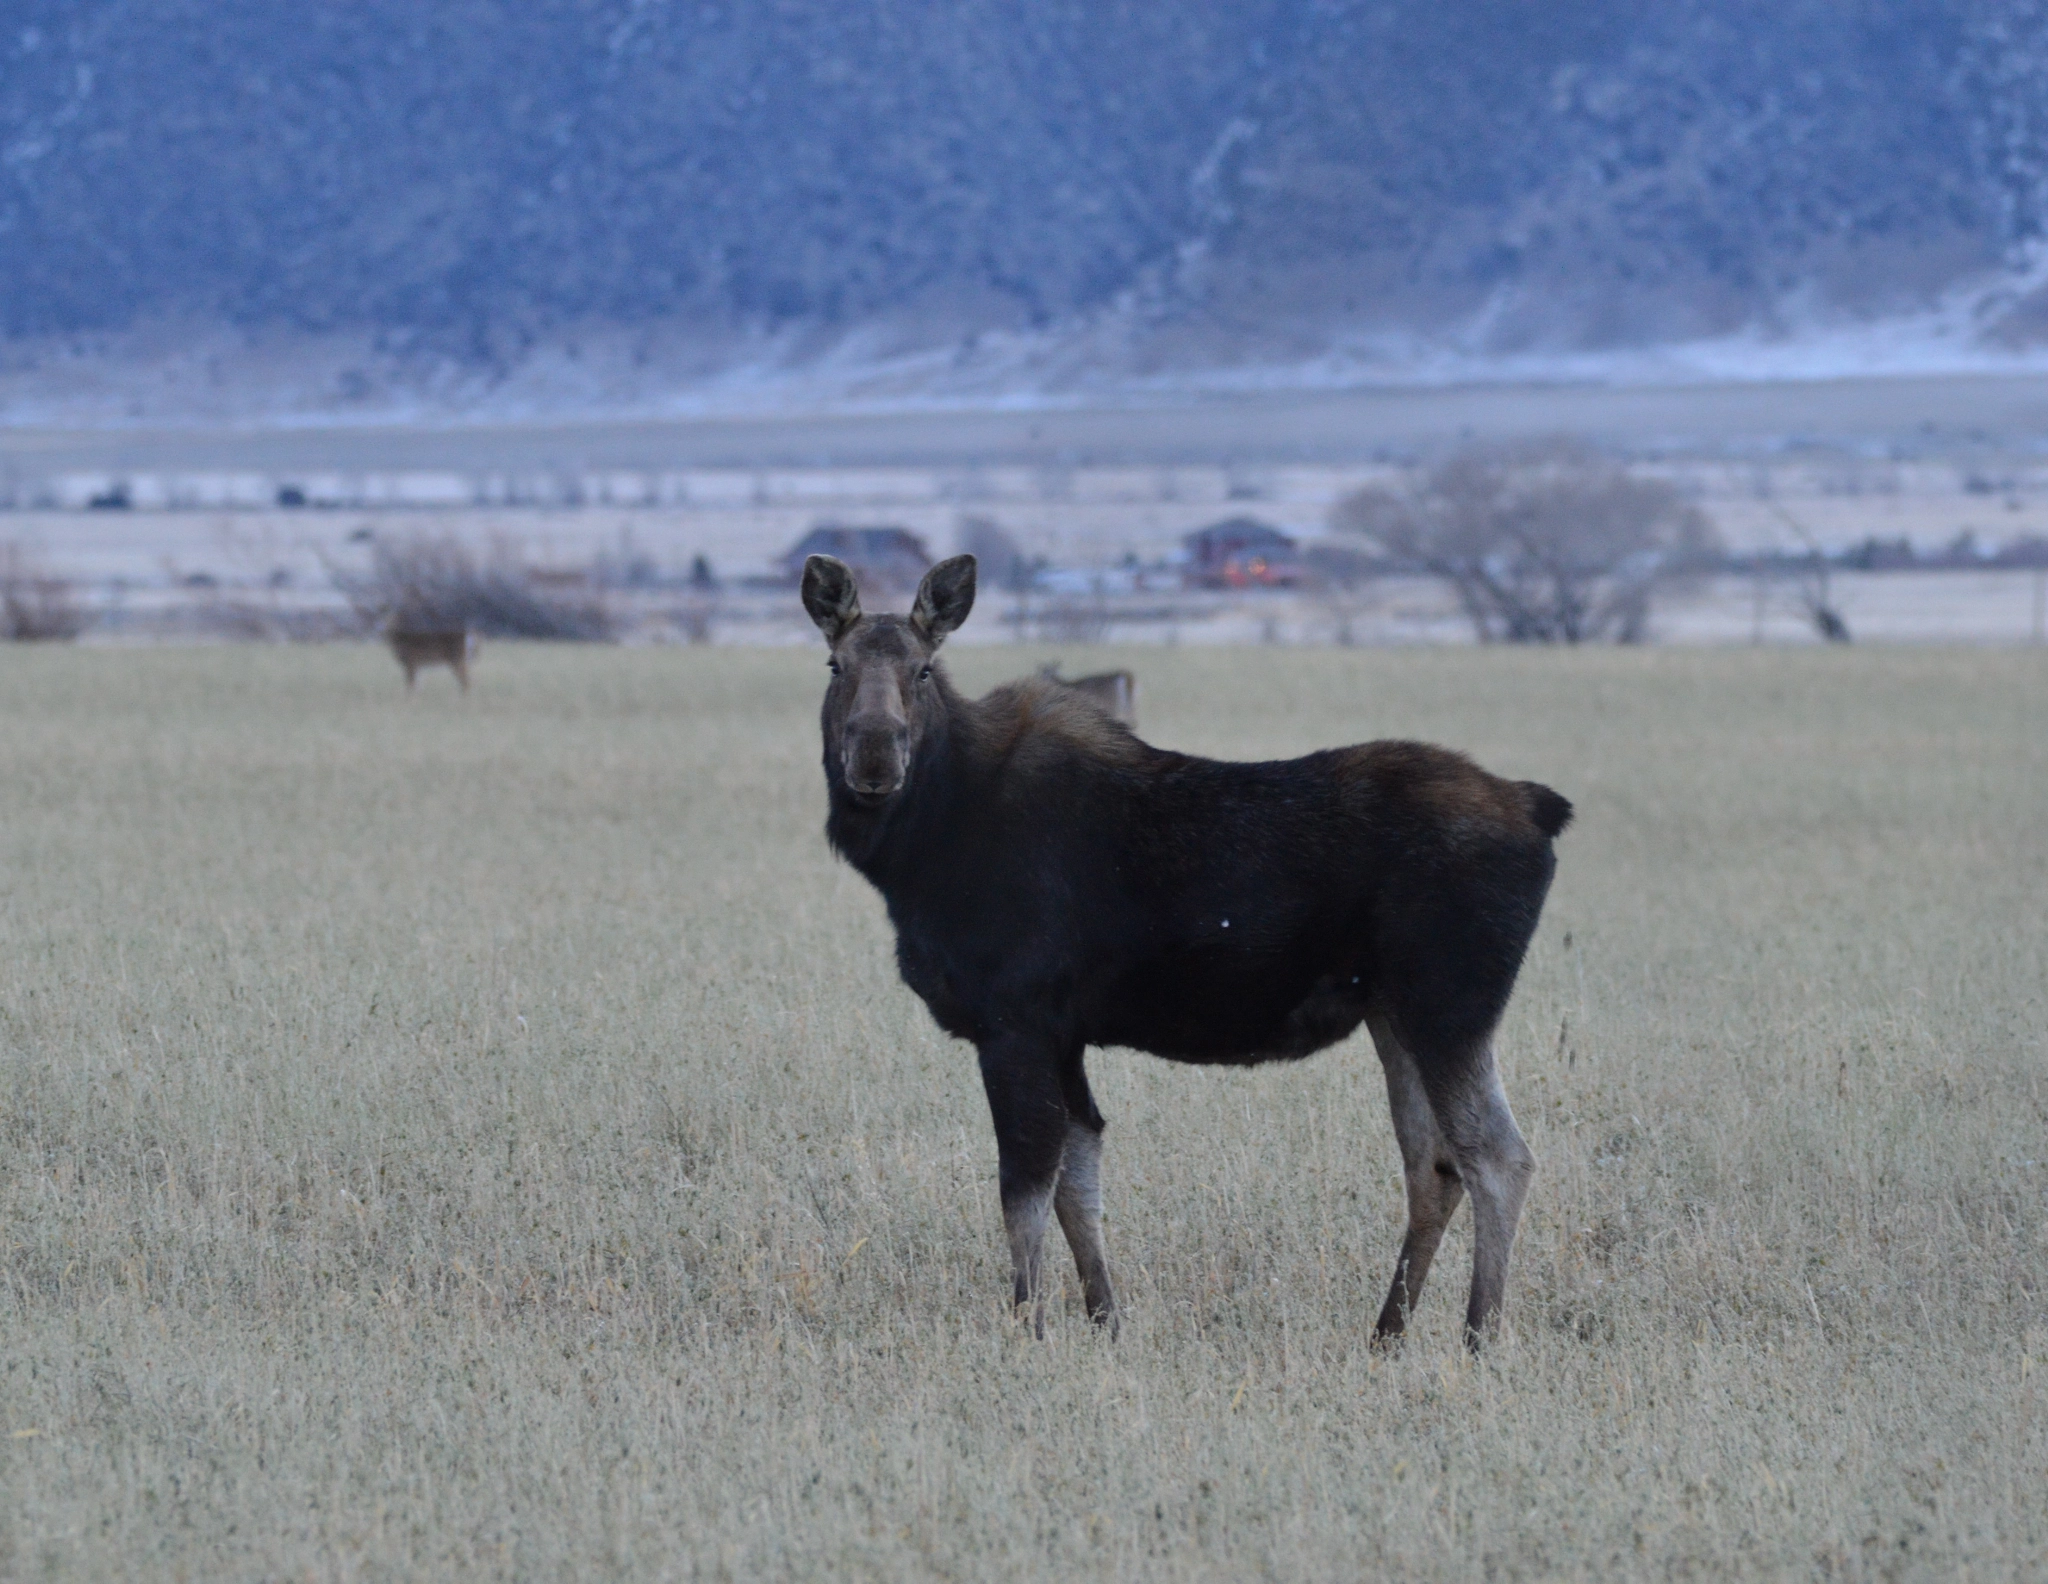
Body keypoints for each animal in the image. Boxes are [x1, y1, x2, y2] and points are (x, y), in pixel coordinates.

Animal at [803, 553, 1571, 1348]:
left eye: (923, 669)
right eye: (834, 663)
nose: (874, 755)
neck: (921, 850)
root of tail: (1542, 809)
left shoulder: (1013, 1024)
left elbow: (1024, 1191)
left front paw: (1031, 1329)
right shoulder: (1062, 1033)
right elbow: (1078, 1178)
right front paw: (1104, 1322)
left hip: (1450, 1008)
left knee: (1500, 1159)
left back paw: (1478, 1336)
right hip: (1396, 1016)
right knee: (1433, 1167)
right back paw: (1386, 1336)